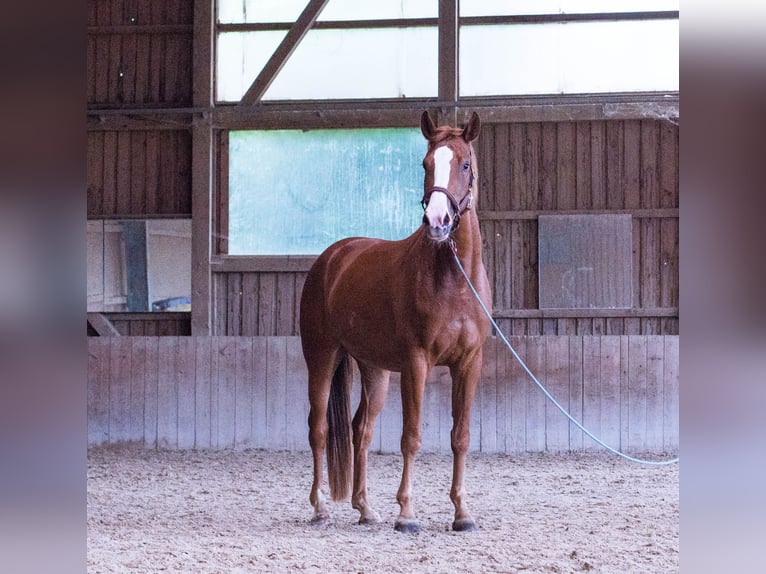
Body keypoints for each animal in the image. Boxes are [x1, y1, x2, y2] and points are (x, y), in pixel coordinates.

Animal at [300, 112, 492, 536]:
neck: (454, 278)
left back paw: (365, 508)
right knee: (318, 428)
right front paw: (406, 514)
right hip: (322, 357)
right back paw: (320, 508)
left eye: (465, 165)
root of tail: (332, 258)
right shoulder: (416, 363)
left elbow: (461, 437)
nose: (437, 221)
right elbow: (412, 437)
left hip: (375, 370)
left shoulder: (469, 363)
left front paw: (462, 512)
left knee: (361, 430)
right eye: (425, 163)